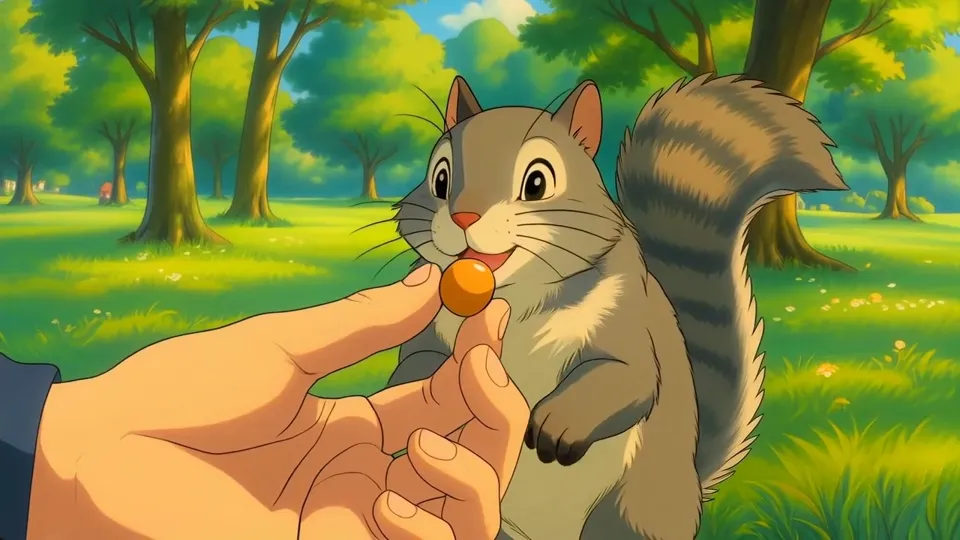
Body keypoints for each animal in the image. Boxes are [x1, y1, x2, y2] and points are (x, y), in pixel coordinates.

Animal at [386, 73, 847, 539]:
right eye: (439, 178)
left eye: (537, 182)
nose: (464, 217)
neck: (512, 298)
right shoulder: (434, 328)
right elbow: (417, 363)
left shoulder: (625, 321)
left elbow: (627, 376)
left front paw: (558, 423)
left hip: (627, 511)